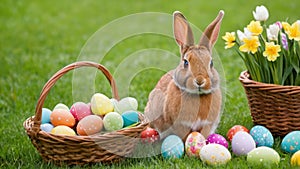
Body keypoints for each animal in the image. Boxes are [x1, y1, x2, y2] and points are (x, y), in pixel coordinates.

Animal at [144, 10, 224, 140]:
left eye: (211, 63)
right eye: (186, 62)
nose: (200, 80)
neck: (198, 95)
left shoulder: (207, 125)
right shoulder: (180, 125)